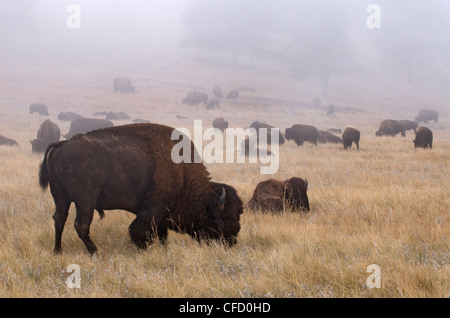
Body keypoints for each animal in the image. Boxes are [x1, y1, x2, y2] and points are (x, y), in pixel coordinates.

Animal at [38, 123, 243, 255]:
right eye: (226, 216)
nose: (232, 241)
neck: (183, 174)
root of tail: (62, 144)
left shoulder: (162, 214)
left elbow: (161, 234)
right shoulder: (153, 208)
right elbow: (140, 229)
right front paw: (142, 248)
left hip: (61, 197)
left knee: (59, 219)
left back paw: (57, 250)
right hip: (85, 199)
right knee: (81, 225)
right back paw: (95, 251)